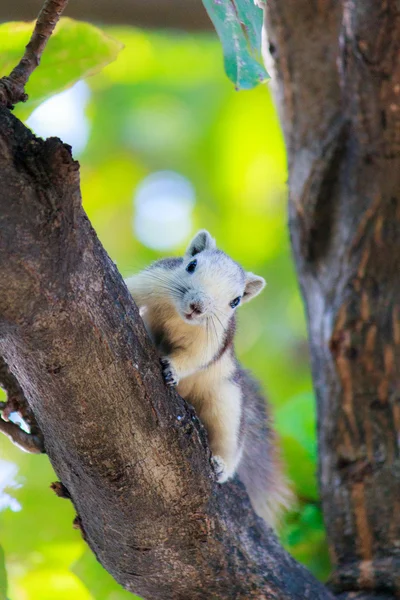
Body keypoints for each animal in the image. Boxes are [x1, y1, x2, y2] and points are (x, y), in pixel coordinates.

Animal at [126, 230, 292, 524]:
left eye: (235, 301)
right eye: (191, 265)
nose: (198, 306)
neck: (180, 318)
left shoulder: (212, 342)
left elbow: (193, 358)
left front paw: (172, 368)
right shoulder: (153, 281)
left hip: (227, 403)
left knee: (229, 440)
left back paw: (221, 465)